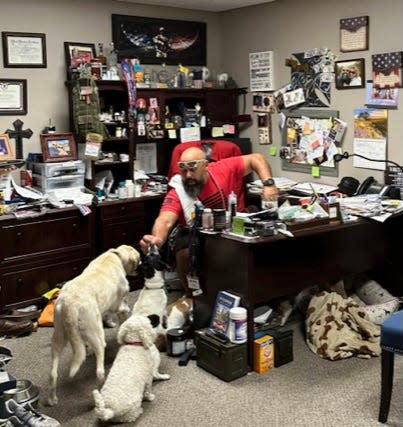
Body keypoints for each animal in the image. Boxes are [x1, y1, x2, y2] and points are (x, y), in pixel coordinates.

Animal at [47, 246, 140, 406]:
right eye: (139, 259)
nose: (141, 267)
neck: (115, 255)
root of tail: (70, 304)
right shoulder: (121, 307)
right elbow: (123, 315)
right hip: (96, 335)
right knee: (100, 372)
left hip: (58, 337)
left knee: (53, 373)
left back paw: (52, 399)